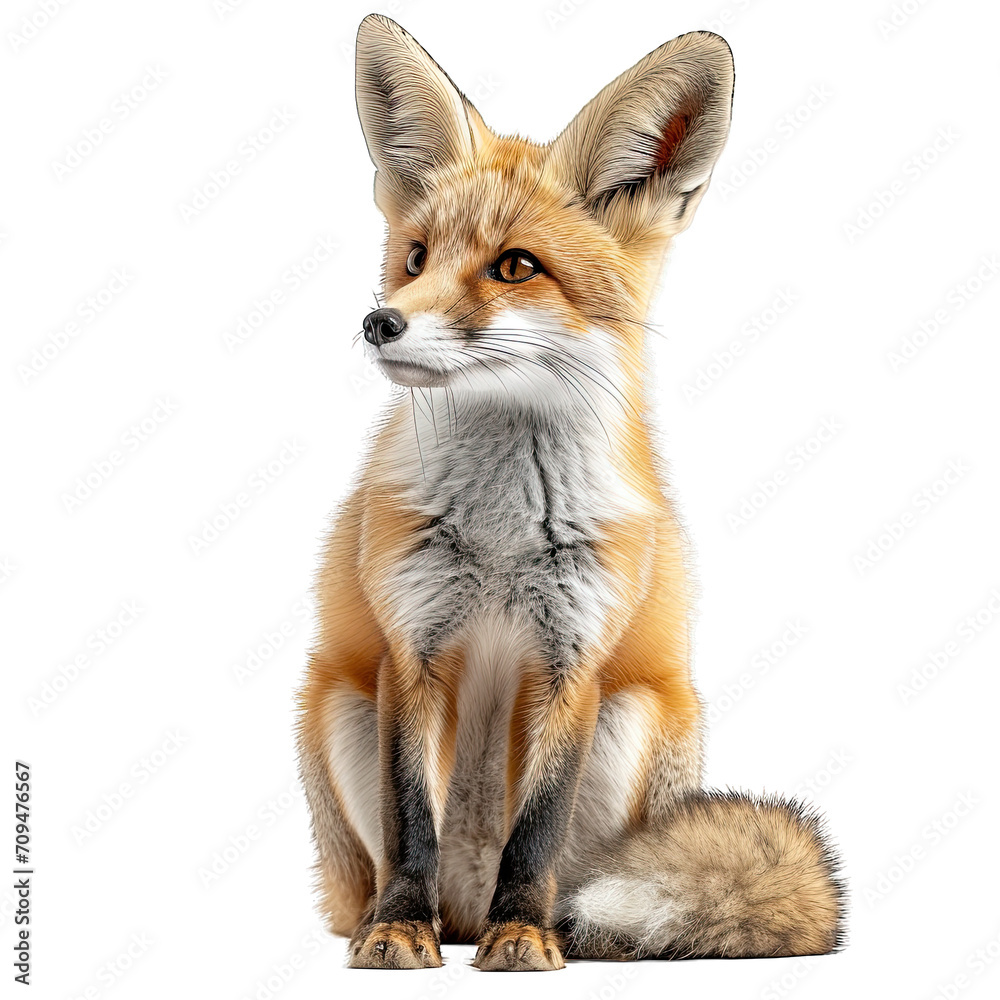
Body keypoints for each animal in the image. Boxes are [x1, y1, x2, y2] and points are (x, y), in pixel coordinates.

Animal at [295, 14, 844, 972]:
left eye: (515, 267)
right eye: (414, 259)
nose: (379, 321)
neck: (503, 534)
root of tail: (464, 906)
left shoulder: (576, 657)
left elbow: (538, 828)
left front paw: (522, 934)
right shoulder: (411, 647)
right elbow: (411, 823)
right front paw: (399, 929)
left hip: (640, 717)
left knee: (577, 885)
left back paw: (547, 927)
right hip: (336, 704)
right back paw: (413, 922)